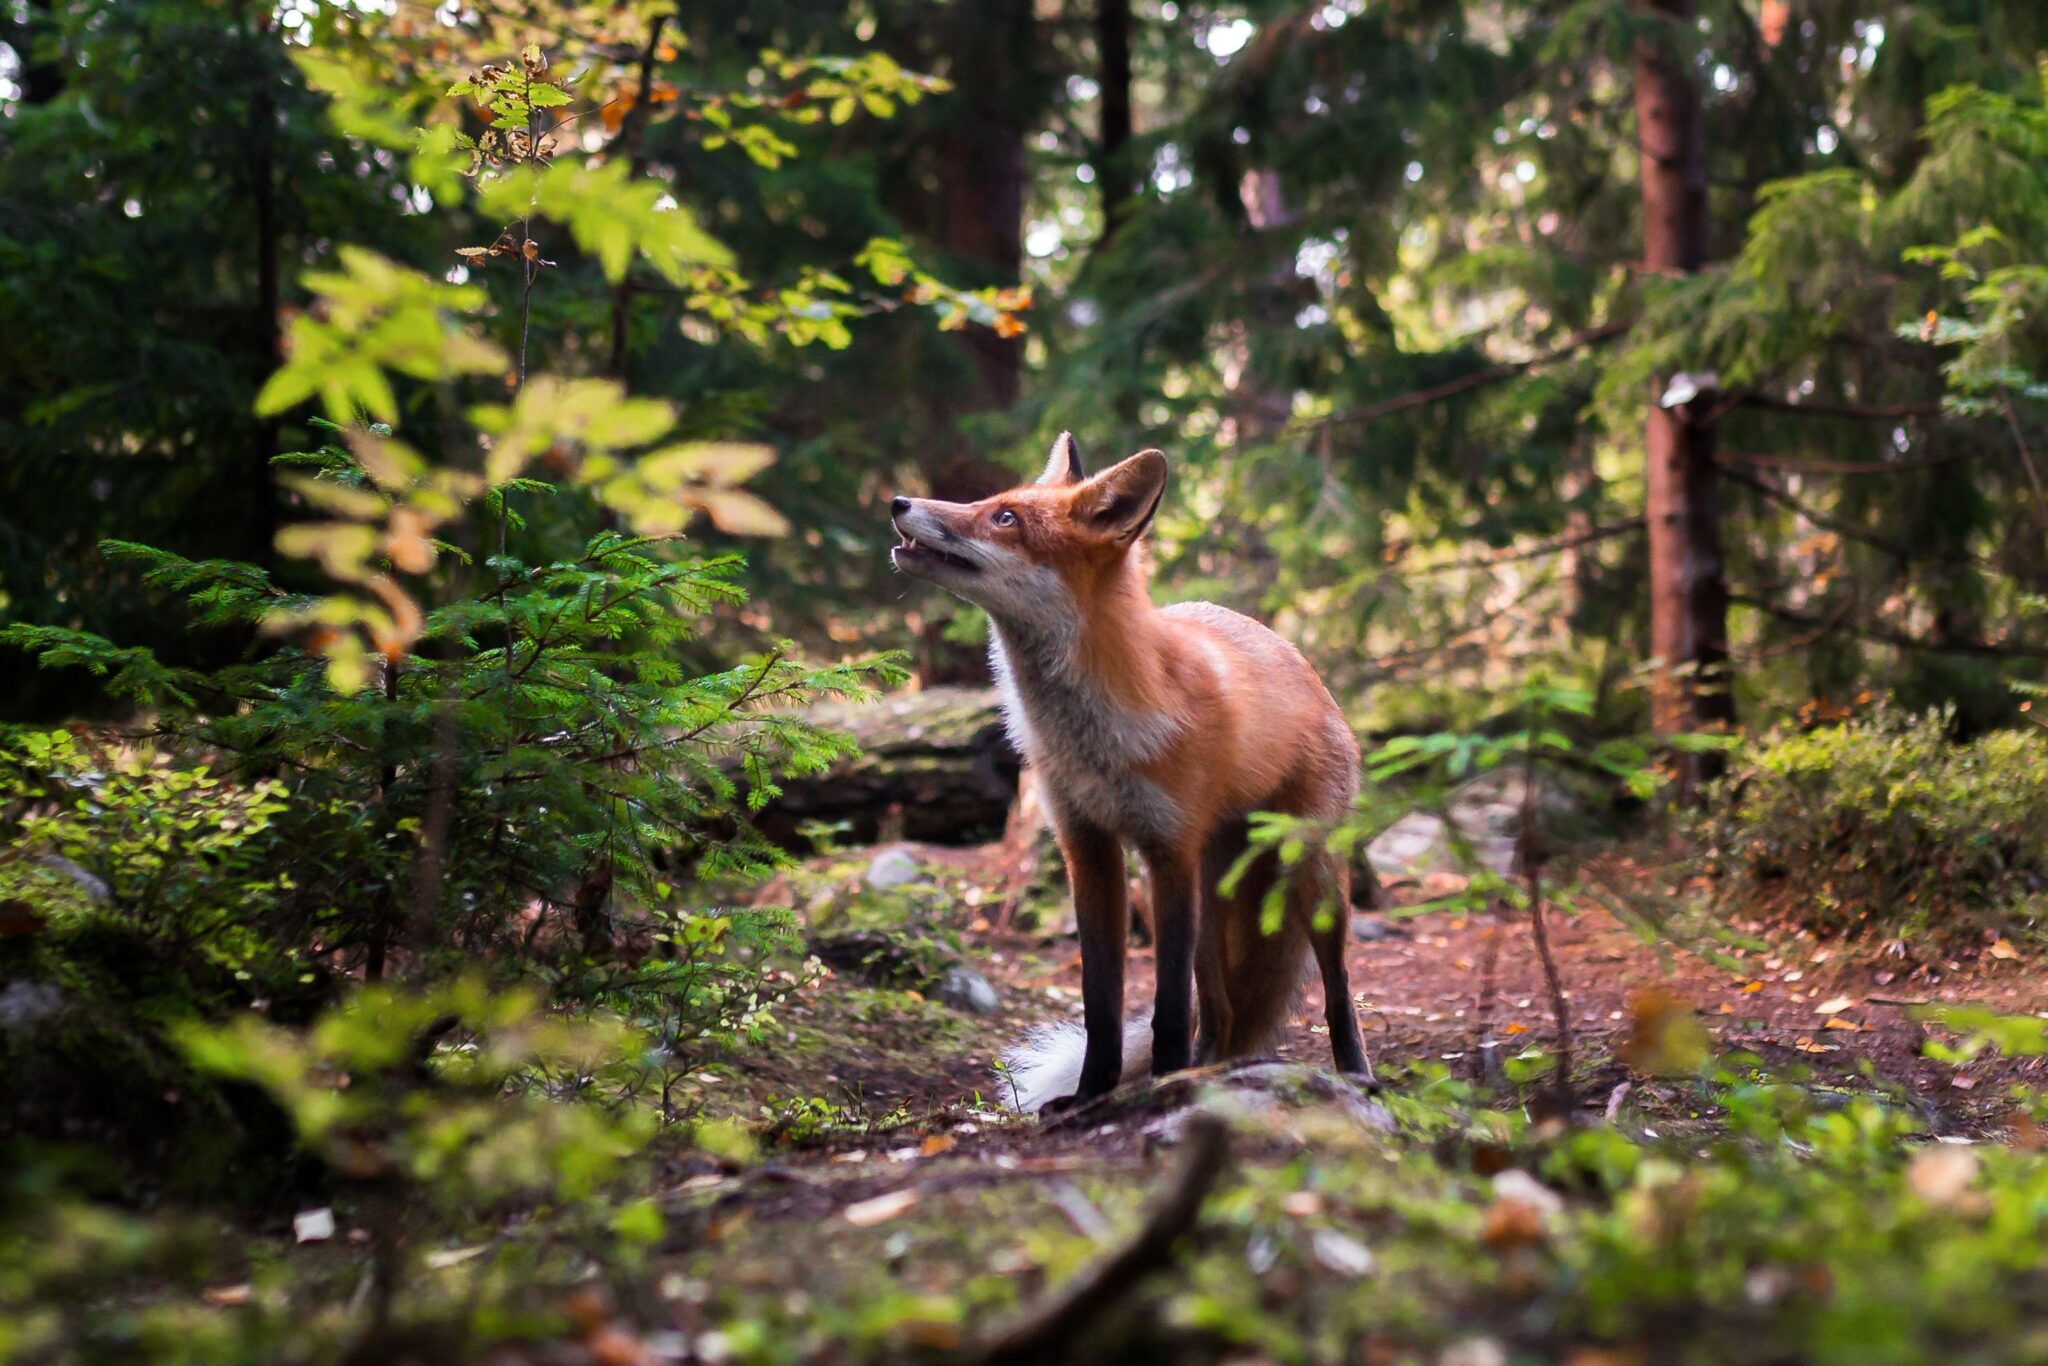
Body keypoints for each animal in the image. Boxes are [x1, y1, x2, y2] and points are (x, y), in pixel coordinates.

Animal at [888, 432, 1368, 1114]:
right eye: (990, 502)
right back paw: (1205, 1071)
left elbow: (1166, 1007)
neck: (1094, 738)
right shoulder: (1088, 847)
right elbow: (1103, 1003)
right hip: (1212, 902)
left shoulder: (1168, 851)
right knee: (1218, 1012)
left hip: (1310, 874)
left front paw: (1155, 1086)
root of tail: (1298, 658)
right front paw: (1092, 1094)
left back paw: (1353, 1075)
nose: (898, 502)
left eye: (1005, 518)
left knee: (1336, 990)